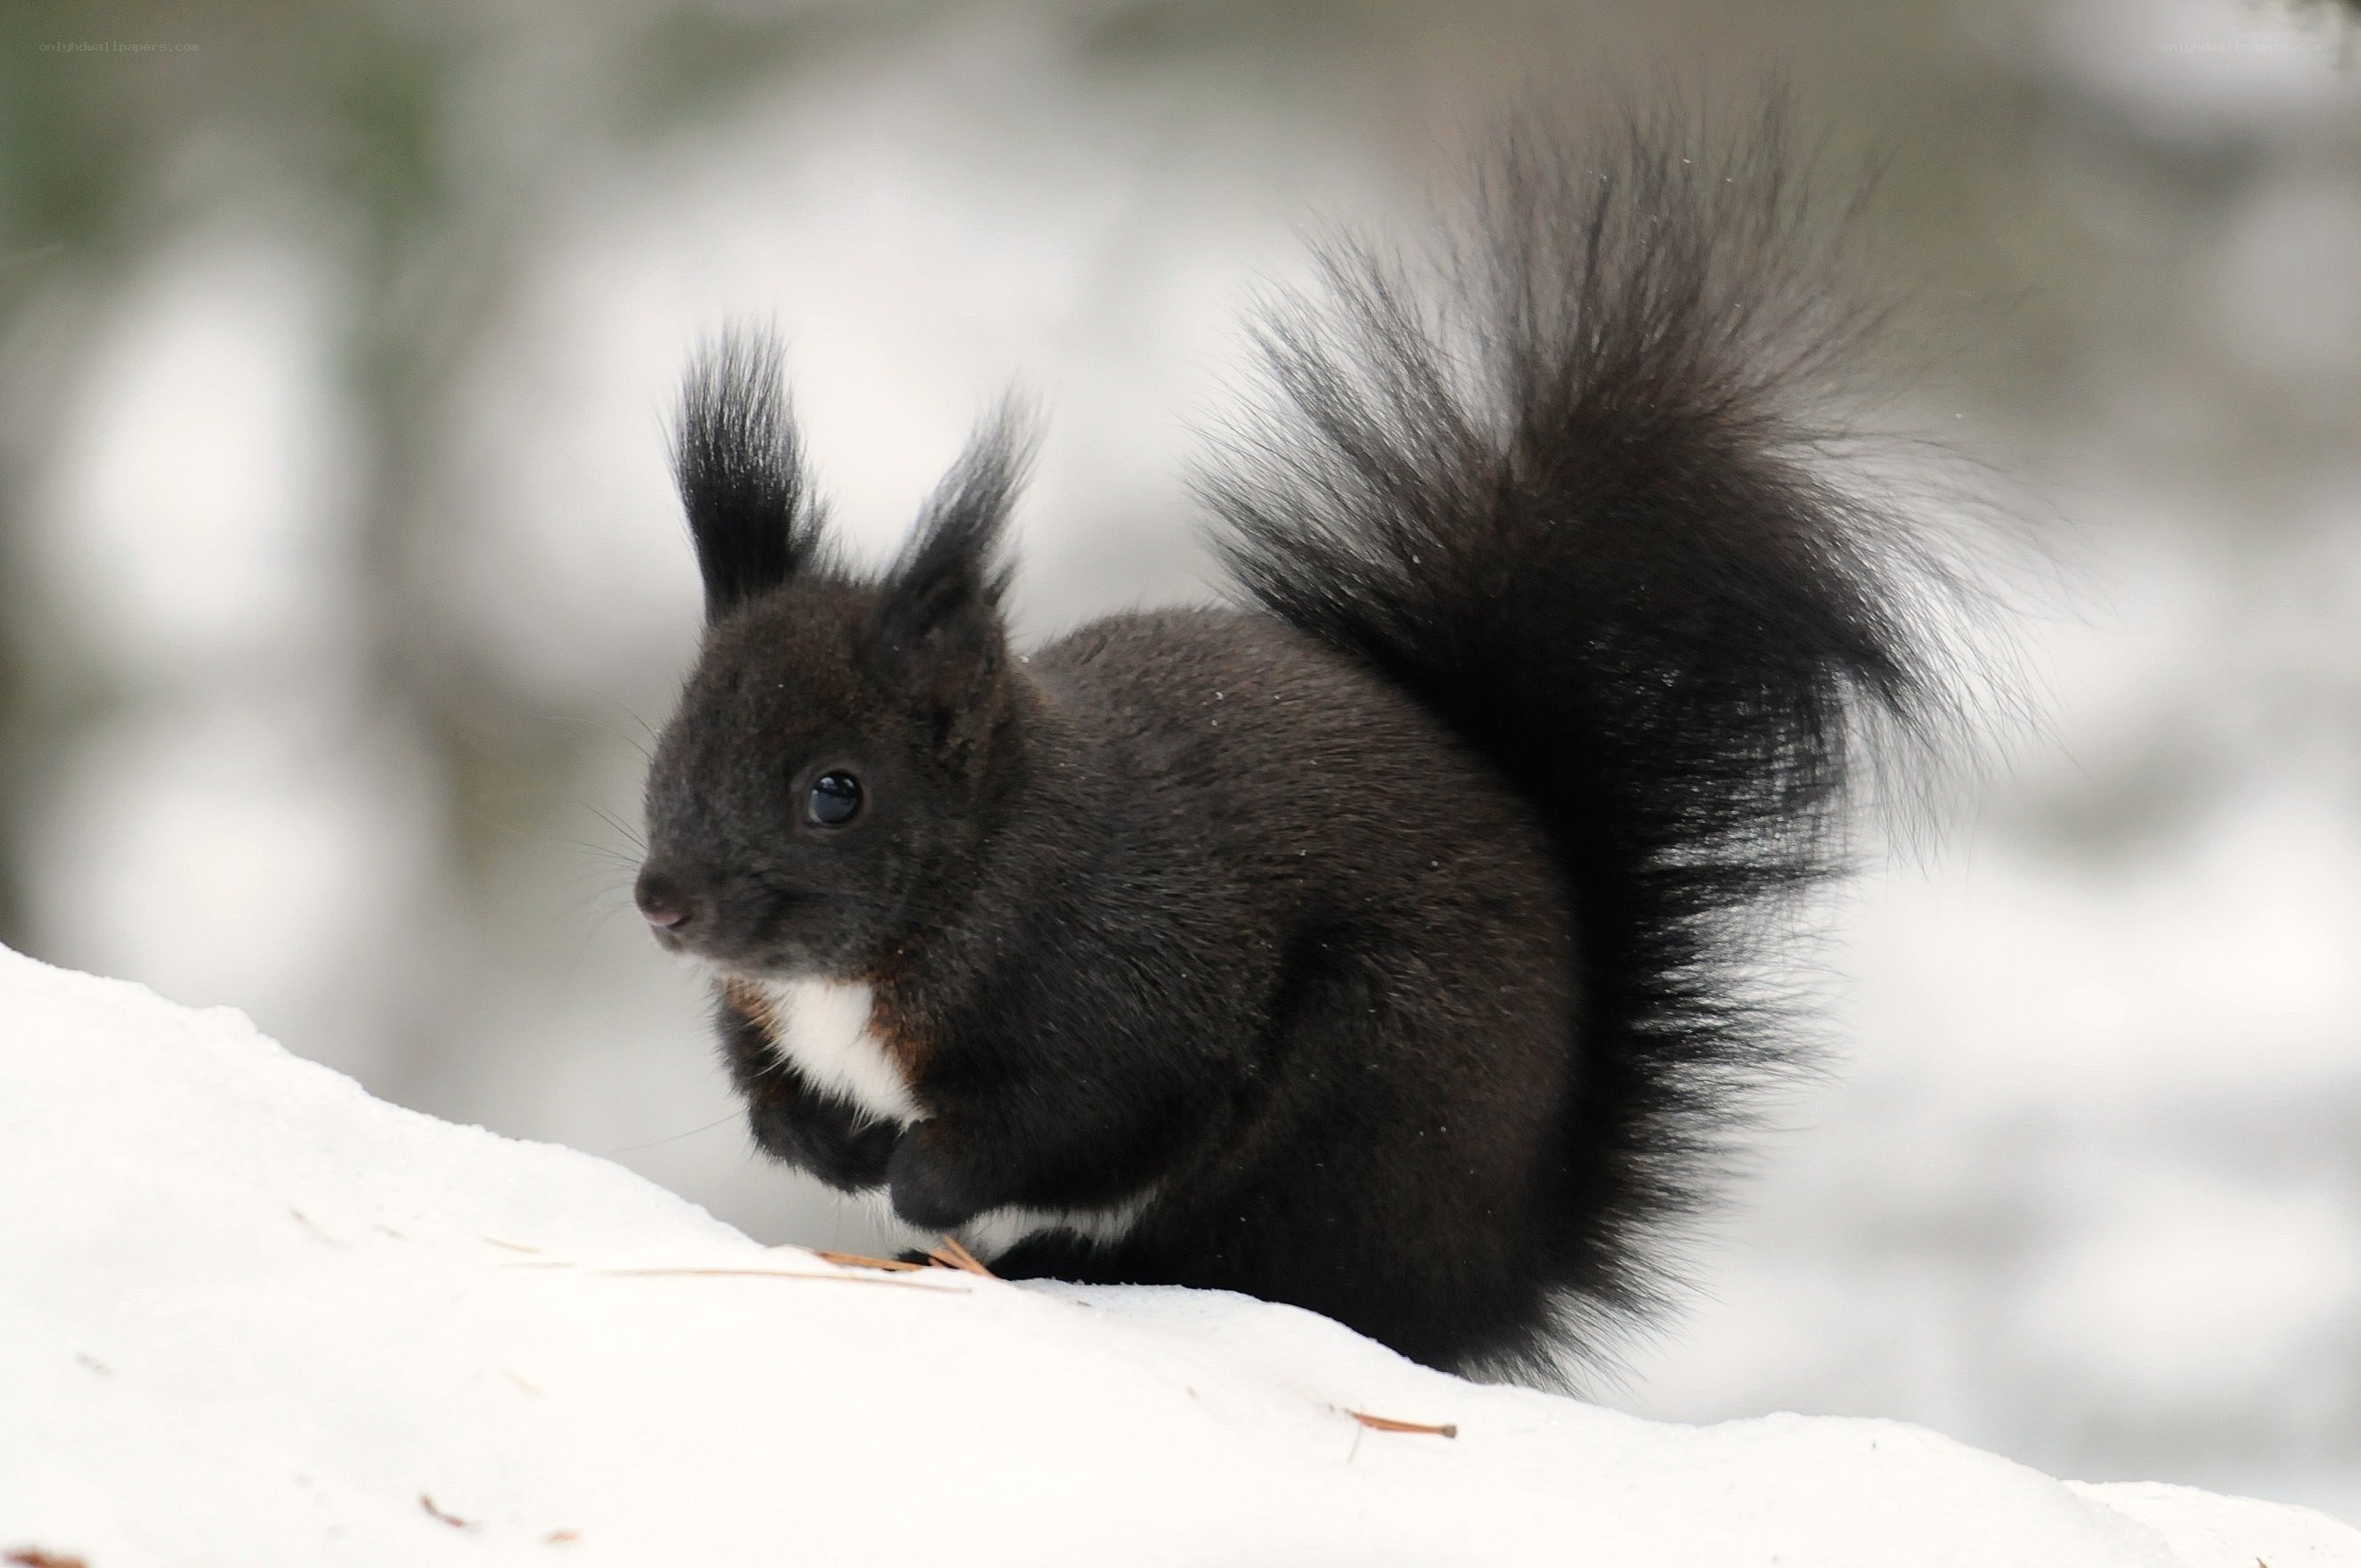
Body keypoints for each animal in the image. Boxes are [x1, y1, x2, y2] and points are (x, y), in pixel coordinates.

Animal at [631, 104, 1969, 1381]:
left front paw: (915, 1178)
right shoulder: (768, 1015)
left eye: (835, 792)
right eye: (670, 749)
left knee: (1257, 1263)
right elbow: (767, 1089)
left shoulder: (1129, 996)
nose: (663, 903)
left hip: (1358, 1101)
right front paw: (825, 1143)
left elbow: (1071, 1127)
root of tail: (1505, 1264)